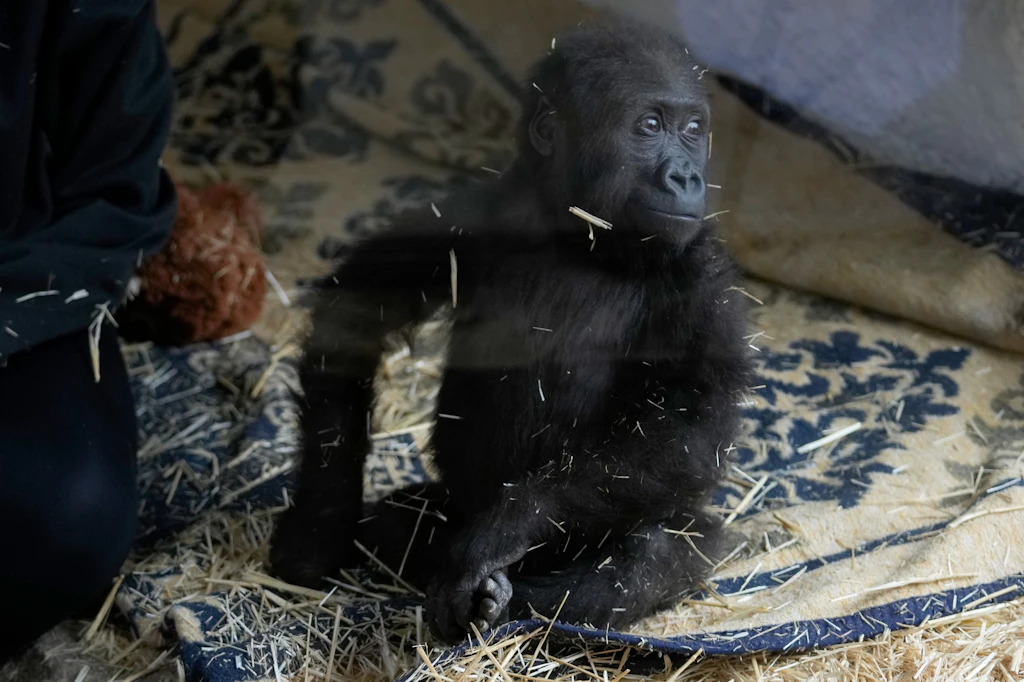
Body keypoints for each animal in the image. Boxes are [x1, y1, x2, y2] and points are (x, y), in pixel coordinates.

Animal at [268, 18, 754, 643]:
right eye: (650, 125)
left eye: (694, 130)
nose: (687, 175)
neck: (580, 233)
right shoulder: (470, 209)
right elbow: (358, 309)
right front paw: (320, 522)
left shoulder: (705, 278)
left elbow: (689, 428)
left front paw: (504, 529)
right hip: (452, 504)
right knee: (401, 522)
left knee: (654, 552)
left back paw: (512, 600)